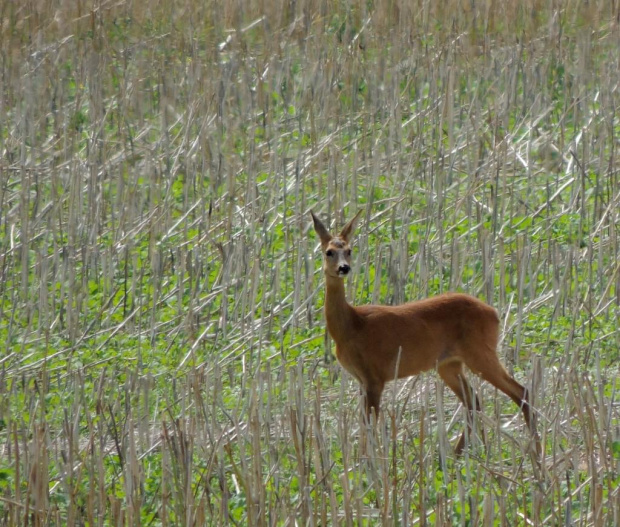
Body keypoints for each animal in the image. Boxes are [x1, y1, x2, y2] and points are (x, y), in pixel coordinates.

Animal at [312, 208, 540, 456]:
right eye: (329, 252)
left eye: (349, 250)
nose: (344, 268)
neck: (351, 327)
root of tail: (495, 313)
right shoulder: (363, 380)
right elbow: (365, 425)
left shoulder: (375, 376)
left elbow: (369, 426)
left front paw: (368, 461)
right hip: (449, 364)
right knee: (474, 401)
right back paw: (455, 455)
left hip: (480, 352)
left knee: (520, 392)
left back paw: (536, 452)